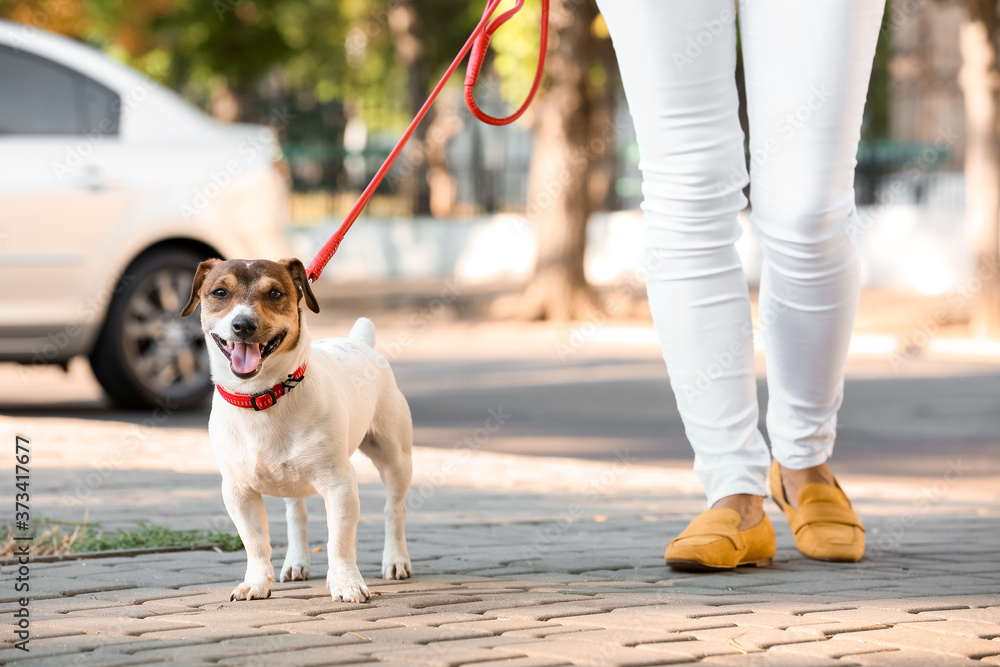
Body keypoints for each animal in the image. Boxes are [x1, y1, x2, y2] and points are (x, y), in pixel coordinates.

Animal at [182, 260, 412, 604]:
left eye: (275, 293)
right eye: (220, 292)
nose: (243, 325)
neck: (264, 396)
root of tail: (360, 342)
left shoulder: (339, 484)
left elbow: (339, 541)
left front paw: (346, 583)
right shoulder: (237, 491)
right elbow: (255, 542)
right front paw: (256, 583)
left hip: (395, 458)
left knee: (393, 509)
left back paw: (395, 560)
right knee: (296, 515)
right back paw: (297, 562)